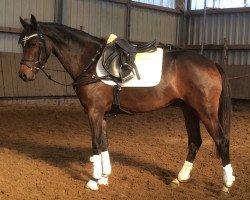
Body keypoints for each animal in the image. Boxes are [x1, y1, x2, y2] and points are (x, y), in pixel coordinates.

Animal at [18, 14, 235, 193]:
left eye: (34, 43)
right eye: (22, 43)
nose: (23, 74)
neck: (91, 62)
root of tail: (211, 63)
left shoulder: (93, 112)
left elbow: (96, 144)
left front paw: (94, 181)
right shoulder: (101, 115)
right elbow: (103, 143)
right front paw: (104, 177)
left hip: (205, 111)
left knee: (221, 140)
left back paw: (226, 183)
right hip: (189, 110)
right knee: (195, 141)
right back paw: (179, 178)